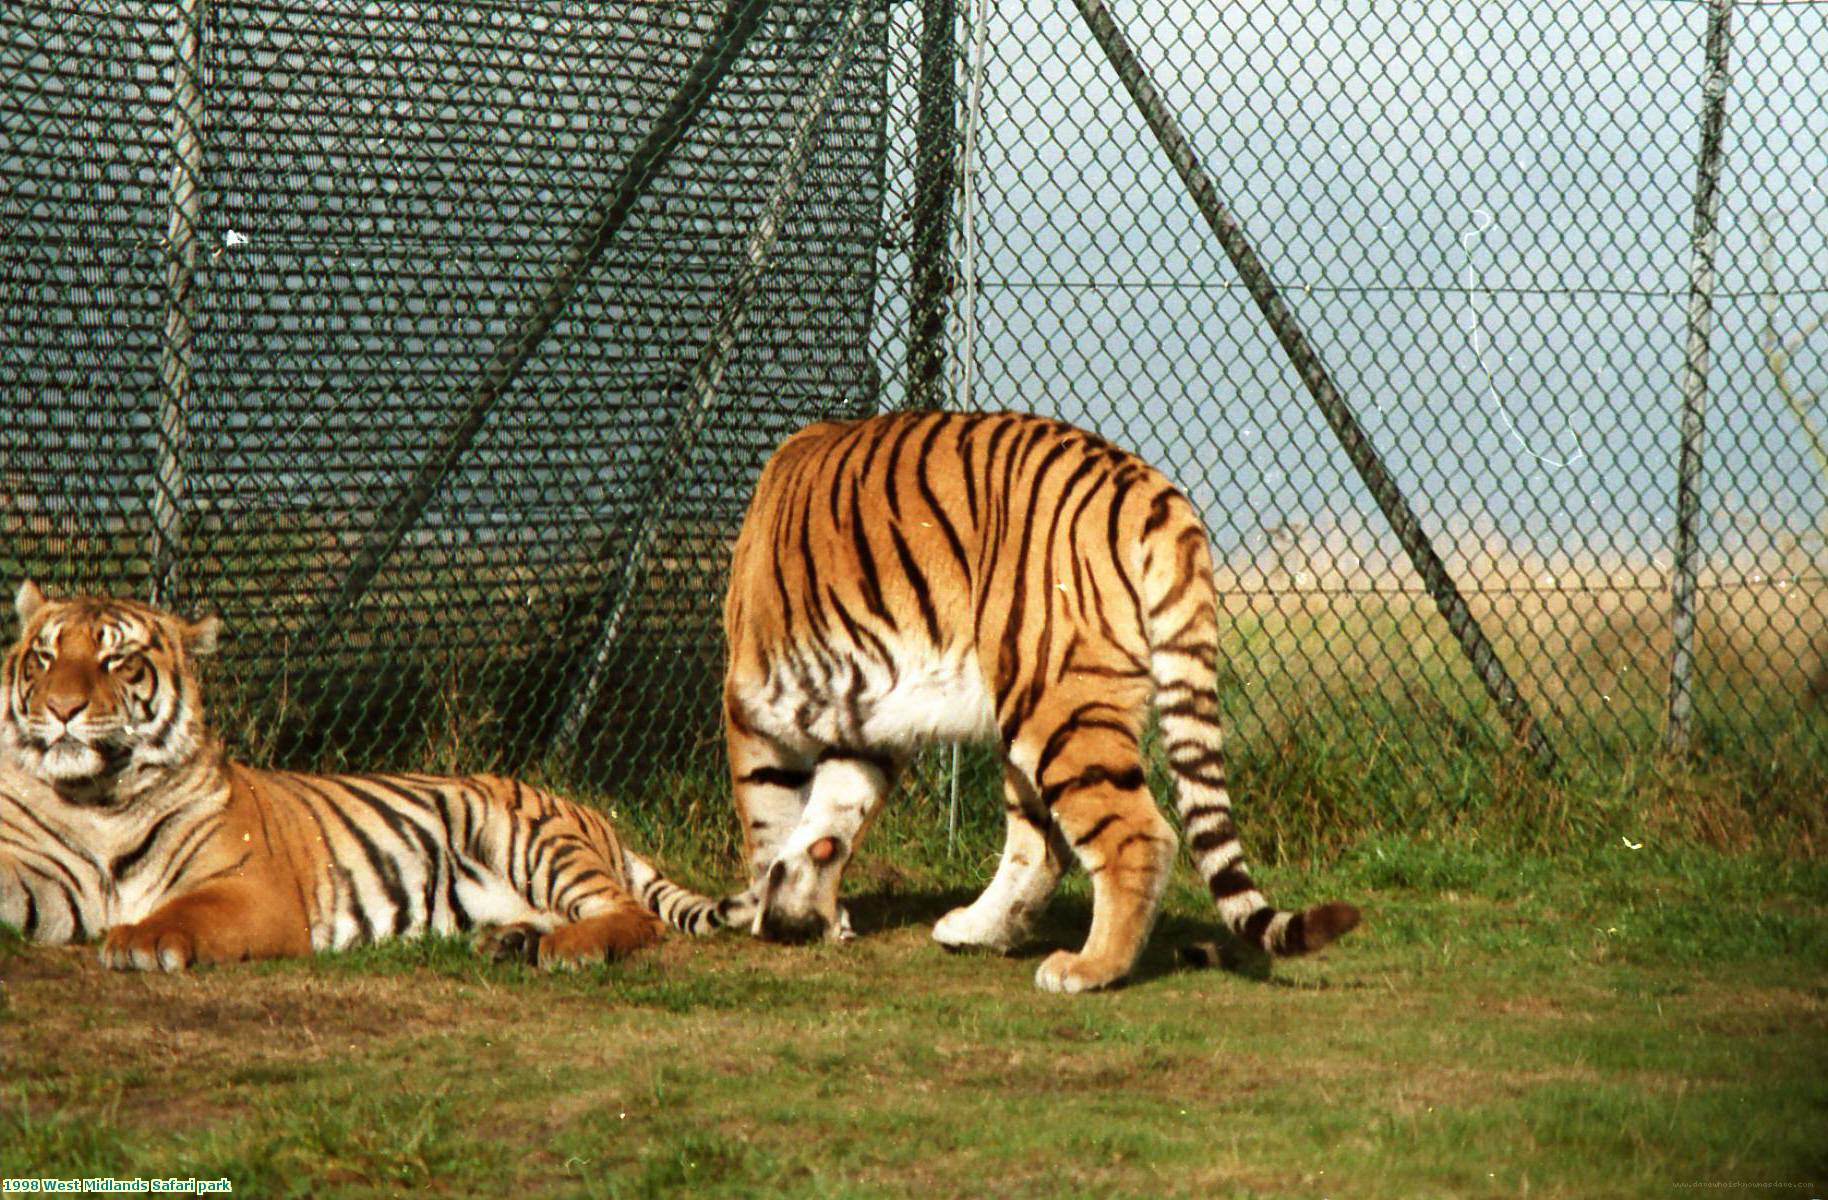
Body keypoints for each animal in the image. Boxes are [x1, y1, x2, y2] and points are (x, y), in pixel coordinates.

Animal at [0, 585, 727, 973]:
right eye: (44, 657)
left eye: (118, 661)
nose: (61, 709)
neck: (98, 800)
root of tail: (593, 815)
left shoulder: (250, 889)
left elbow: (184, 911)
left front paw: (139, 942)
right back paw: (511, 940)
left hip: (531, 841)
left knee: (631, 914)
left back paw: (568, 948)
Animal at [723, 413, 1360, 995]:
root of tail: (1153, 489)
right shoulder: (868, 726)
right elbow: (829, 823)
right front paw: (803, 910)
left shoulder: (752, 703)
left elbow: (769, 820)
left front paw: (766, 910)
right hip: (1036, 710)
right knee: (1041, 845)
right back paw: (976, 931)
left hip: (1056, 699)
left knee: (1135, 837)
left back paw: (1087, 968)